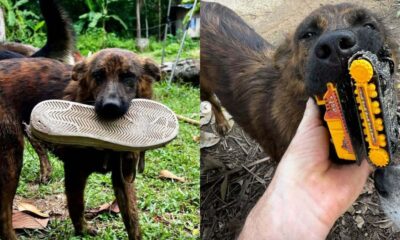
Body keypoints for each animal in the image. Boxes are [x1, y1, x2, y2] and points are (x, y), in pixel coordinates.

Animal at [0, 47, 159, 239]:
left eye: (129, 76)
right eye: (98, 75)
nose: (110, 107)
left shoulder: (124, 176)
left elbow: (133, 220)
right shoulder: (74, 171)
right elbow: (77, 205)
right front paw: (82, 229)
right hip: (11, 158)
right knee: (4, 210)